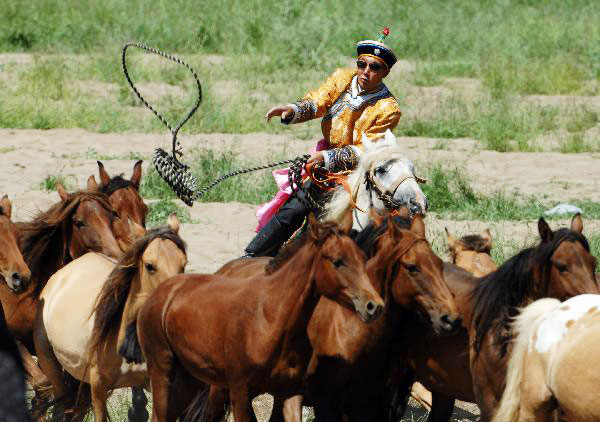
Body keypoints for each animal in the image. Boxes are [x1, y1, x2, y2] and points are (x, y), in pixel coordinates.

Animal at [138, 216, 382, 422]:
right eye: (337, 261)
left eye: (363, 258)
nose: (374, 306)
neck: (271, 318)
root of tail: (163, 291)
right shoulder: (240, 390)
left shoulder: (290, 393)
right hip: (163, 369)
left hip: (190, 379)